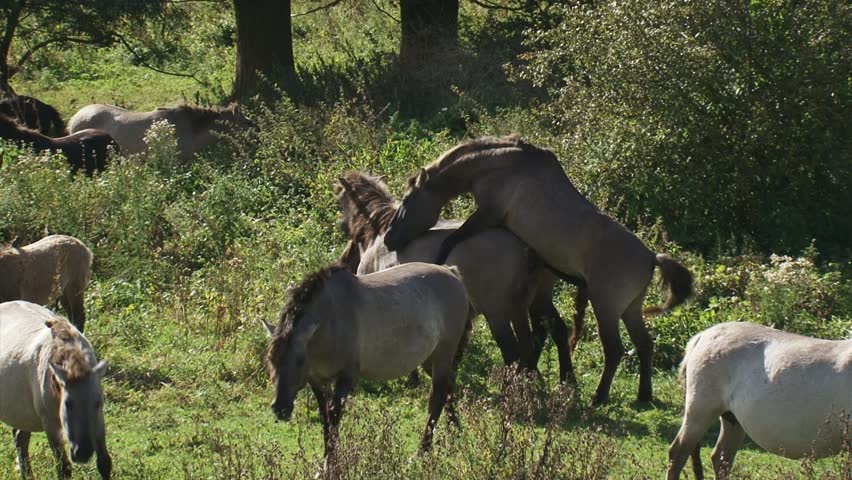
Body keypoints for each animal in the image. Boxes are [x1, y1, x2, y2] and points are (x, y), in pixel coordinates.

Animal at [0, 301, 111, 480]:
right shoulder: (51, 426)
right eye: (68, 404)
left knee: (20, 439)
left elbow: (104, 463)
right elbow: (63, 469)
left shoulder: (99, 421)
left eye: (98, 403)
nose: (83, 453)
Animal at [262, 262, 472, 455]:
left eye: (298, 360)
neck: (330, 318)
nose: (280, 408)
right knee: (449, 386)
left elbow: (334, 416)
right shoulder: (317, 381)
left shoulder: (346, 377)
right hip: (430, 358)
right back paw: (455, 431)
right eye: (270, 361)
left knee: (437, 397)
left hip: (443, 354)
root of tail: (451, 272)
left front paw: (332, 462)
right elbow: (325, 418)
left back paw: (422, 451)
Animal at [334, 171, 586, 382]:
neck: (378, 232)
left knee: (514, 351)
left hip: (499, 312)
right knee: (550, 334)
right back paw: (563, 382)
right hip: (534, 301)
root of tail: (527, 247)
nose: (342, 262)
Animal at [383, 136, 694, 405]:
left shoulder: (488, 215)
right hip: (629, 310)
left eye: (408, 200)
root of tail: (651, 257)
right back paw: (643, 396)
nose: (388, 239)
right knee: (644, 345)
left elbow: (452, 239)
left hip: (606, 308)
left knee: (614, 350)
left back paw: (599, 396)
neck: (501, 162)